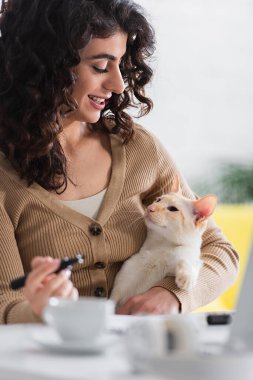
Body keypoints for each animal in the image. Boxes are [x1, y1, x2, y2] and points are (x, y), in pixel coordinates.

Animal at [110, 177, 217, 308]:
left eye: (173, 209)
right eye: (158, 200)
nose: (150, 208)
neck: (159, 246)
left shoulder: (189, 260)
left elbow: (186, 261)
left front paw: (185, 278)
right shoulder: (119, 288)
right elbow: (109, 303)